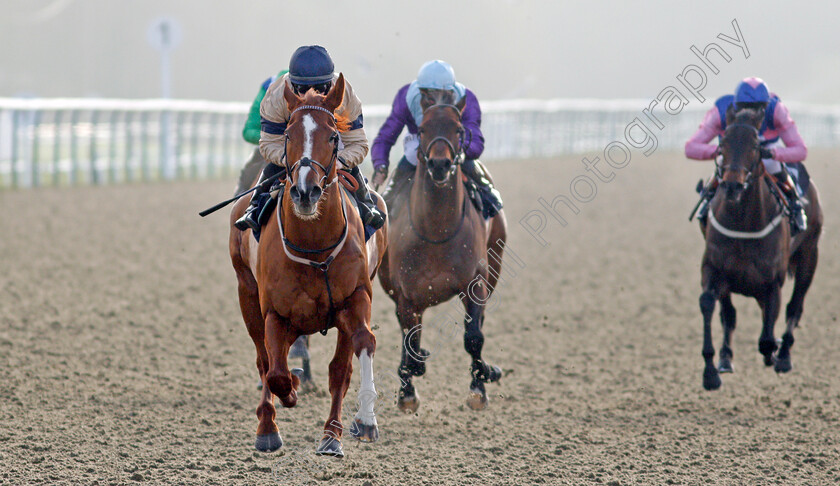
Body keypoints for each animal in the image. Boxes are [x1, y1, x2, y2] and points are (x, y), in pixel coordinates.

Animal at [228, 72, 388, 456]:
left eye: (333, 136)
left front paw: (363, 422)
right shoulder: (274, 312)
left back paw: (332, 433)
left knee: (338, 368)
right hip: (246, 294)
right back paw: (268, 427)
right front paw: (287, 398)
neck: (315, 248)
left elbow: (361, 346)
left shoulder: (356, 297)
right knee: (264, 360)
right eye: (288, 135)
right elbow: (275, 371)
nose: (305, 192)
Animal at [378, 88, 508, 410]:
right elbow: (410, 342)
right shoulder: (406, 294)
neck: (435, 231)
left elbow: (473, 336)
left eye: (459, 129)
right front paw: (408, 390)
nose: (439, 165)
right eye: (423, 129)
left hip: (495, 264)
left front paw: (480, 385)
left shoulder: (475, 282)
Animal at [700, 106, 824, 392]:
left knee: (794, 306)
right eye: (722, 142)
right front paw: (711, 372)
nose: (732, 185)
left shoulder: (772, 283)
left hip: (809, 256)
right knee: (730, 314)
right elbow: (710, 305)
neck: (743, 222)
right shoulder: (714, 269)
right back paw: (726, 358)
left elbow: (767, 337)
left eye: (756, 145)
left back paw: (784, 355)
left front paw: (775, 352)